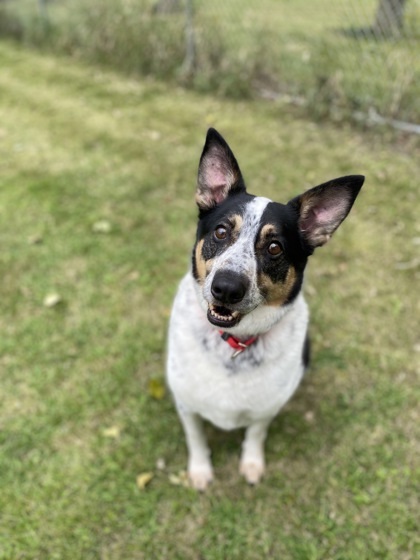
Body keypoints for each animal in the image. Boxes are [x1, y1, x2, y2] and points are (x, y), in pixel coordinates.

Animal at [166, 128, 362, 490]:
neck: (235, 343)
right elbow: (196, 438)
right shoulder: (186, 404)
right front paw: (199, 471)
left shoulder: (266, 409)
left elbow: (255, 435)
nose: (227, 287)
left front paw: (252, 464)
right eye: (221, 231)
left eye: (274, 248)